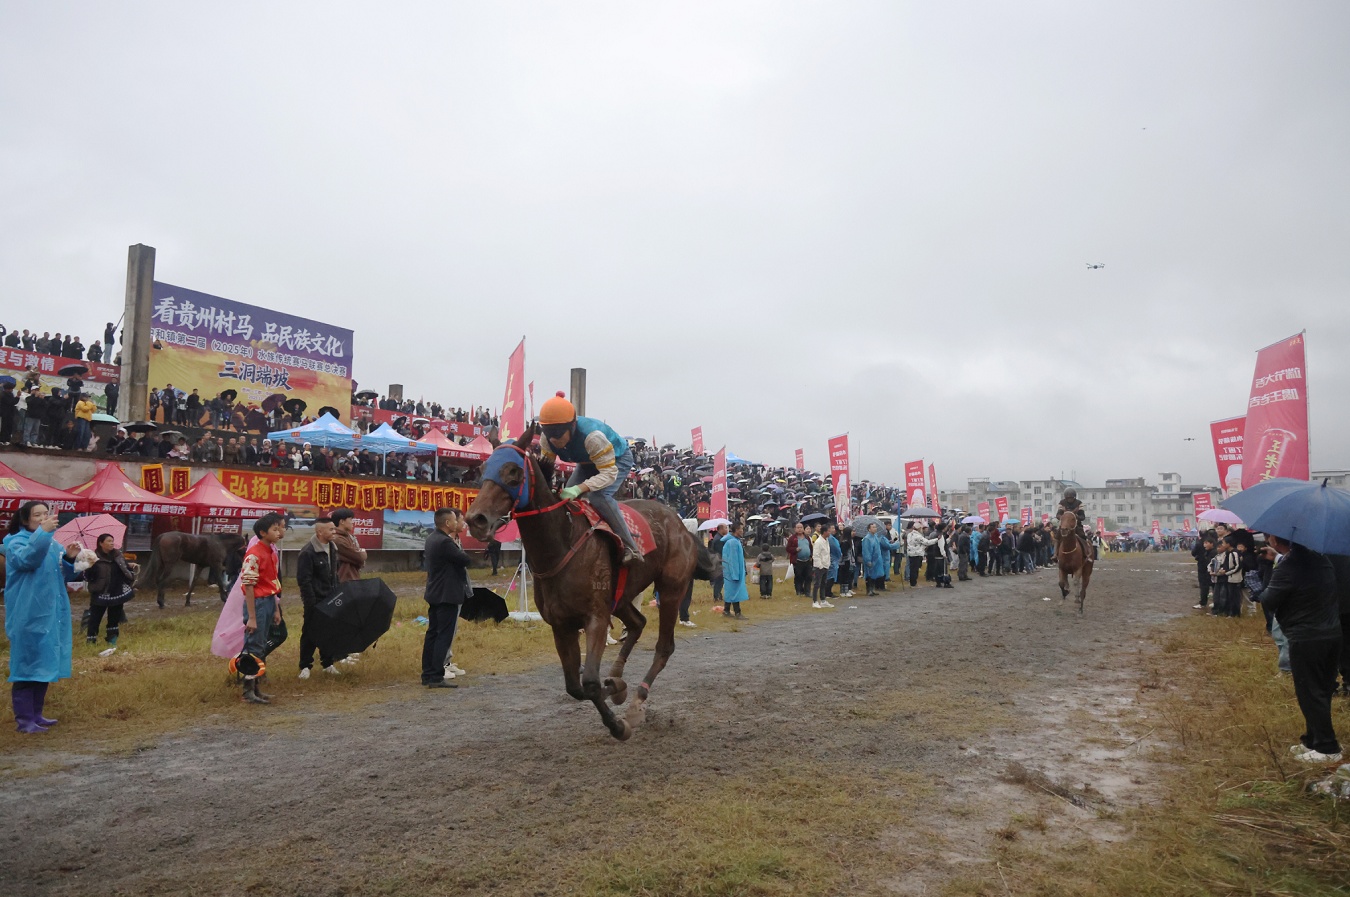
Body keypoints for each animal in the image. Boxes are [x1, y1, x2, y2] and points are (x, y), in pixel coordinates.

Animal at [466, 421, 715, 741]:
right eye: (483, 467)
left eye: (513, 471)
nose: (476, 520)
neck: (562, 545)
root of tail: (682, 525)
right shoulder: (562, 624)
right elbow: (575, 687)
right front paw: (616, 687)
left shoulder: (595, 616)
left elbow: (591, 682)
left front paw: (618, 722)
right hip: (621, 597)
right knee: (638, 623)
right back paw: (619, 678)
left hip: (671, 589)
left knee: (664, 647)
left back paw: (637, 702)